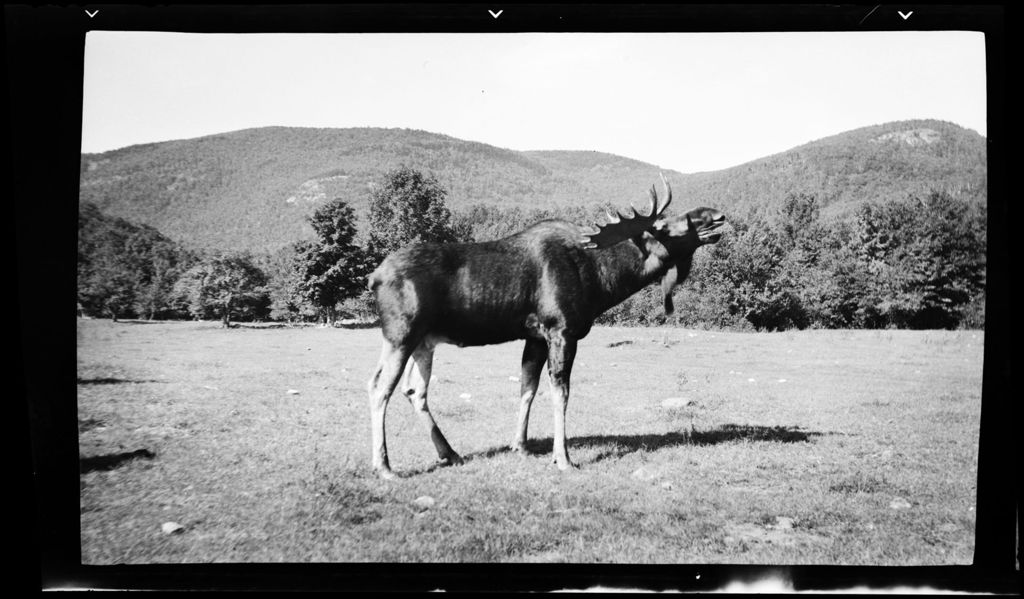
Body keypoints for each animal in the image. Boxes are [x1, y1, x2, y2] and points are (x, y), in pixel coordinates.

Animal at [366, 176, 727, 479]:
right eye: (666, 225)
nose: (718, 215)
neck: (604, 283)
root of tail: (373, 277)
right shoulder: (561, 330)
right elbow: (560, 392)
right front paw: (563, 457)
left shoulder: (535, 337)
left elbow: (528, 388)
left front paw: (520, 445)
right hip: (401, 334)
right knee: (379, 387)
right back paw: (384, 466)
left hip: (425, 341)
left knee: (414, 390)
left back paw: (449, 452)